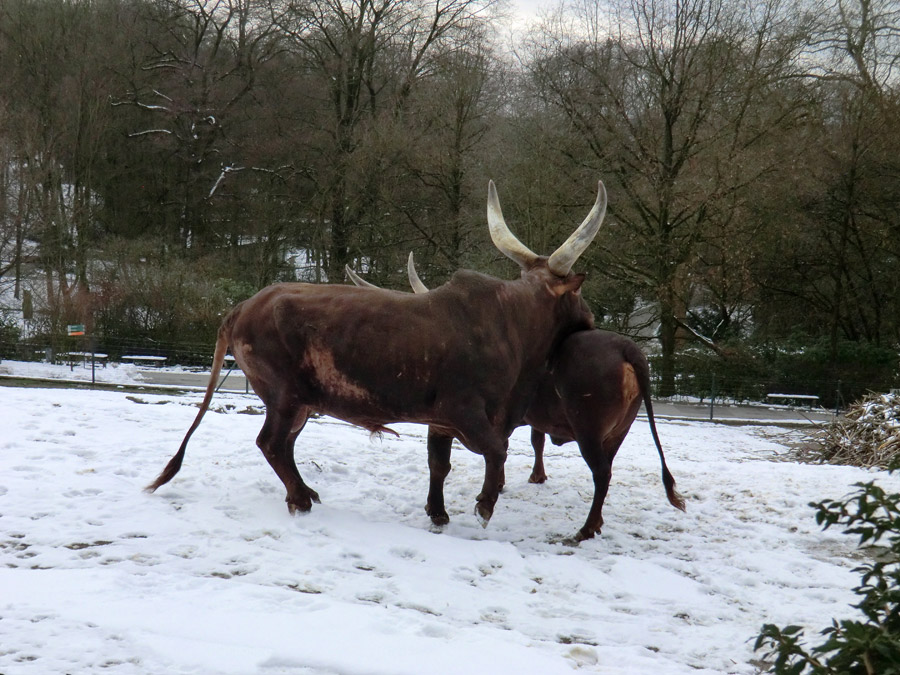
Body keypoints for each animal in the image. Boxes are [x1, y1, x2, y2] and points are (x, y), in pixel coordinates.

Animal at [148, 181, 608, 528]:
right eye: (578, 293)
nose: (591, 318)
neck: (508, 322)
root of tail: (243, 306)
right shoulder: (466, 413)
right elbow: (497, 451)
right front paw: (485, 503)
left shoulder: (439, 421)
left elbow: (438, 465)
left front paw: (437, 513)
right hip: (284, 395)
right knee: (272, 443)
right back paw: (301, 498)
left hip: (301, 403)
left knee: (286, 444)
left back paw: (304, 491)